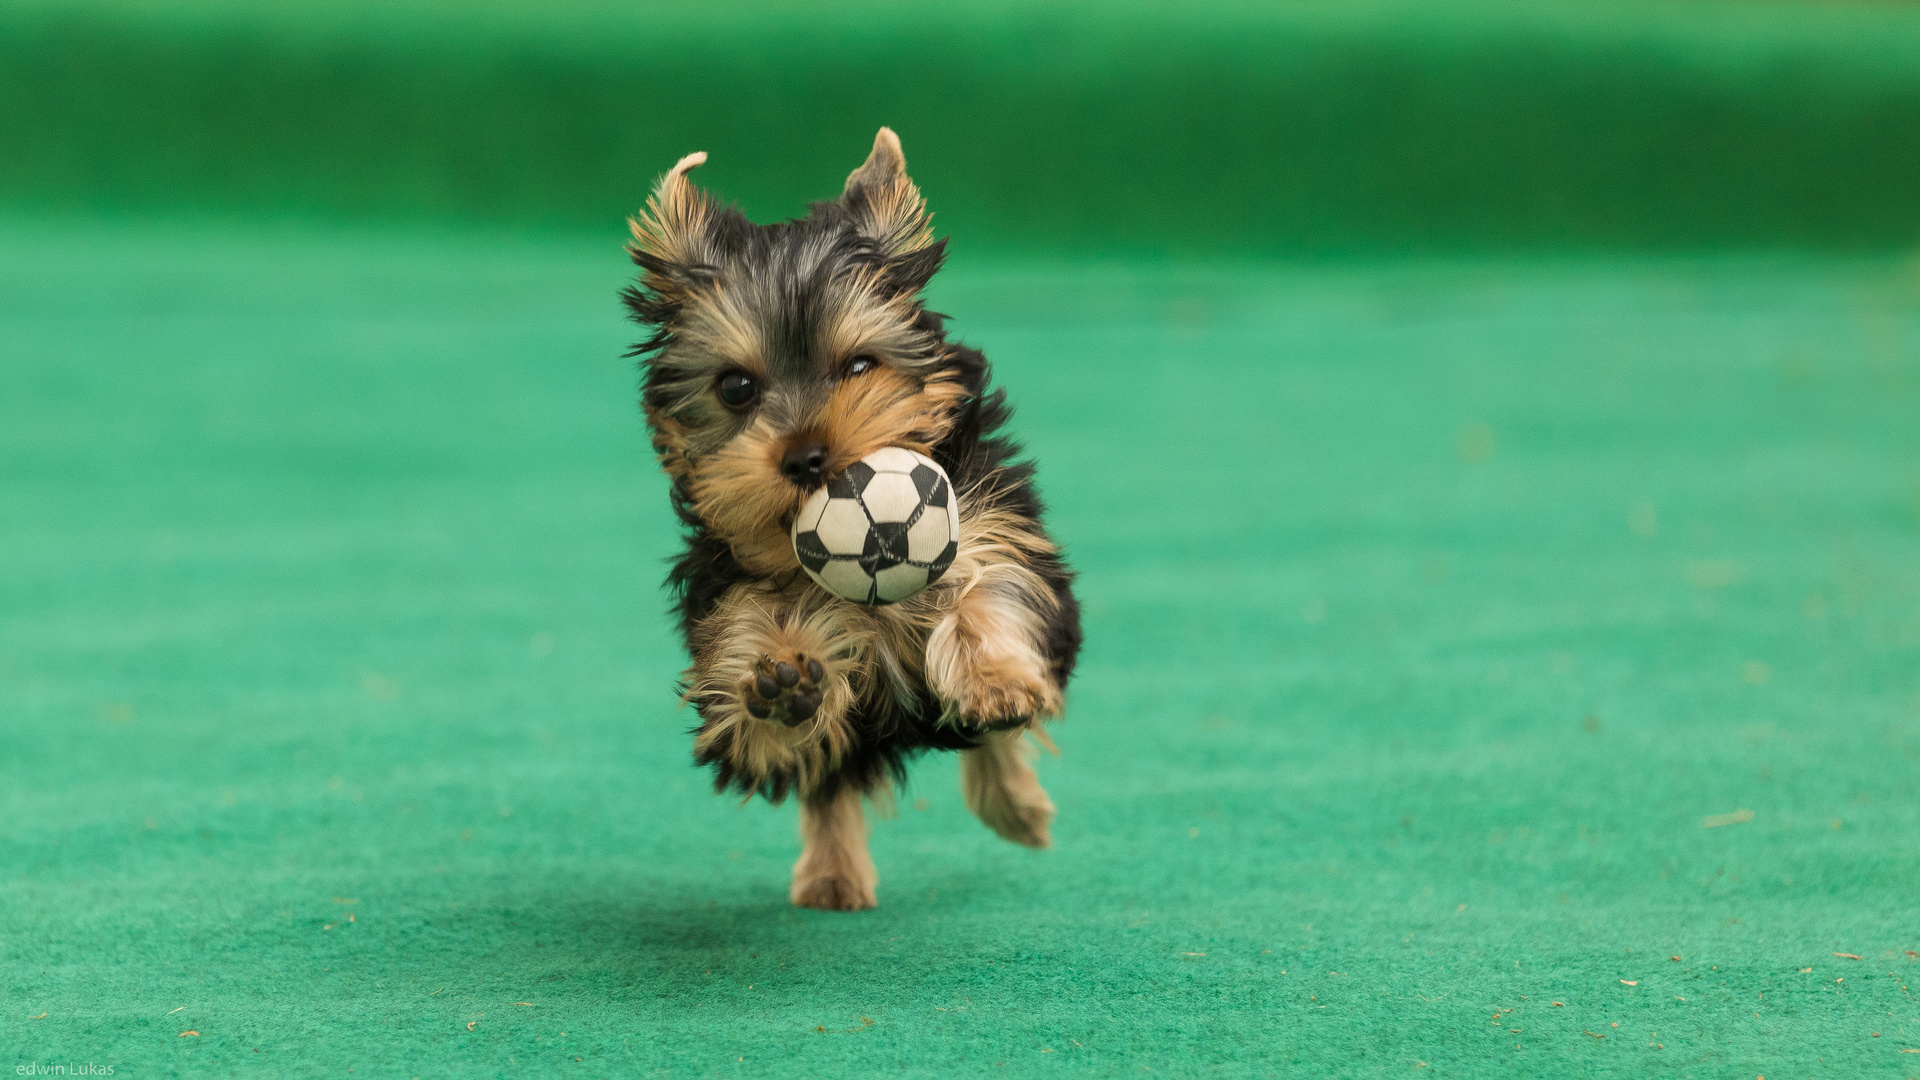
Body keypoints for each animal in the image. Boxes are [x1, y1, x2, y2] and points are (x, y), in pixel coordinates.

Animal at [625, 127, 1082, 907]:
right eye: (736, 387)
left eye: (861, 367)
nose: (808, 458)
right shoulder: (726, 592)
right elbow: (757, 708)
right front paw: (782, 682)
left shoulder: (989, 516)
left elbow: (987, 584)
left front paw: (992, 675)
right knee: (829, 782)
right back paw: (832, 869)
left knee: (994, 738)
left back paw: (1015, 803)